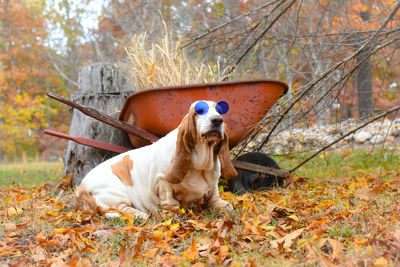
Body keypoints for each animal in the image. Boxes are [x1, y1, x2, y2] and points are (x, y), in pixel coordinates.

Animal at [75, 100, 238, 220]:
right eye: (199, 111)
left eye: (220, 110)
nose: (217, 120)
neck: (201, 164)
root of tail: (79, 191)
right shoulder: (163, 181)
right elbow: (170, 200)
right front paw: (172, 213)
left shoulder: (212, 183)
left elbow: (214, 195)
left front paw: (222, 205)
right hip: (116, 194)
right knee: (123, 210)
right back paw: (141, 215)